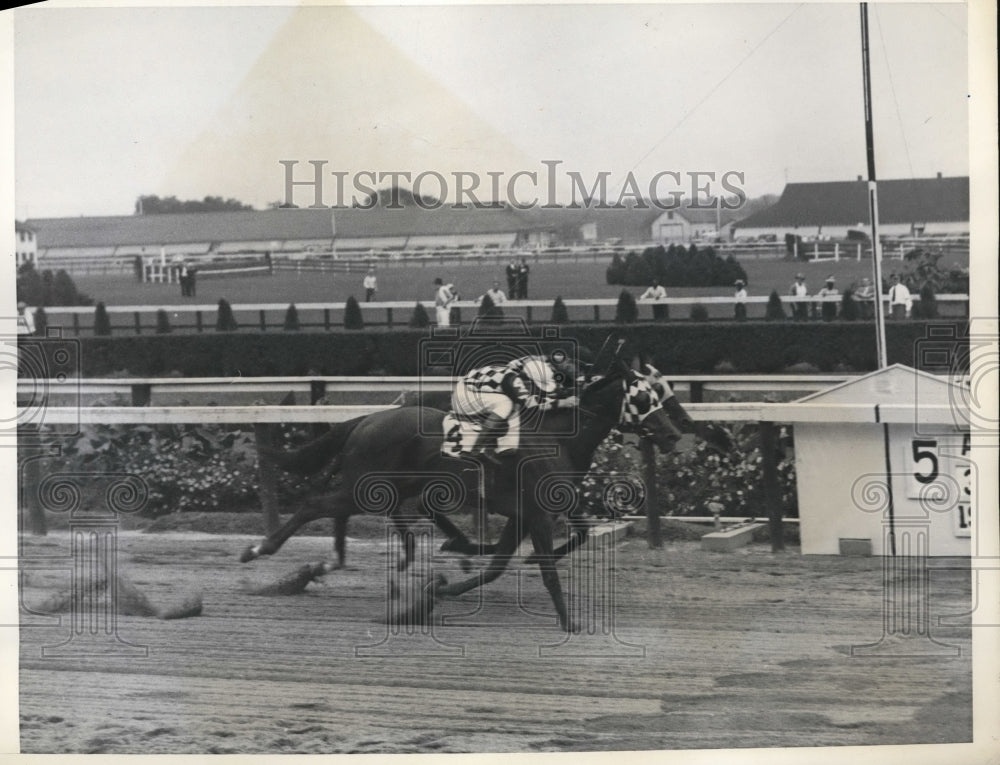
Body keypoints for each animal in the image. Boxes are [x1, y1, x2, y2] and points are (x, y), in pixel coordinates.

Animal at [242, 362, 684, 628]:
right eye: (643, 398)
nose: (672, 435)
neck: (558, 436)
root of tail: (365, 420)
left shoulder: (525, 514)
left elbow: (504, 564)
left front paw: (441, 588)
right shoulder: (538, 514)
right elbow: (546, 570)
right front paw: (568, 621)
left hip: (389, 486)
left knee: (366, 512)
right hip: (364, 488)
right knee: (314, 505)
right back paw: (261, 550)